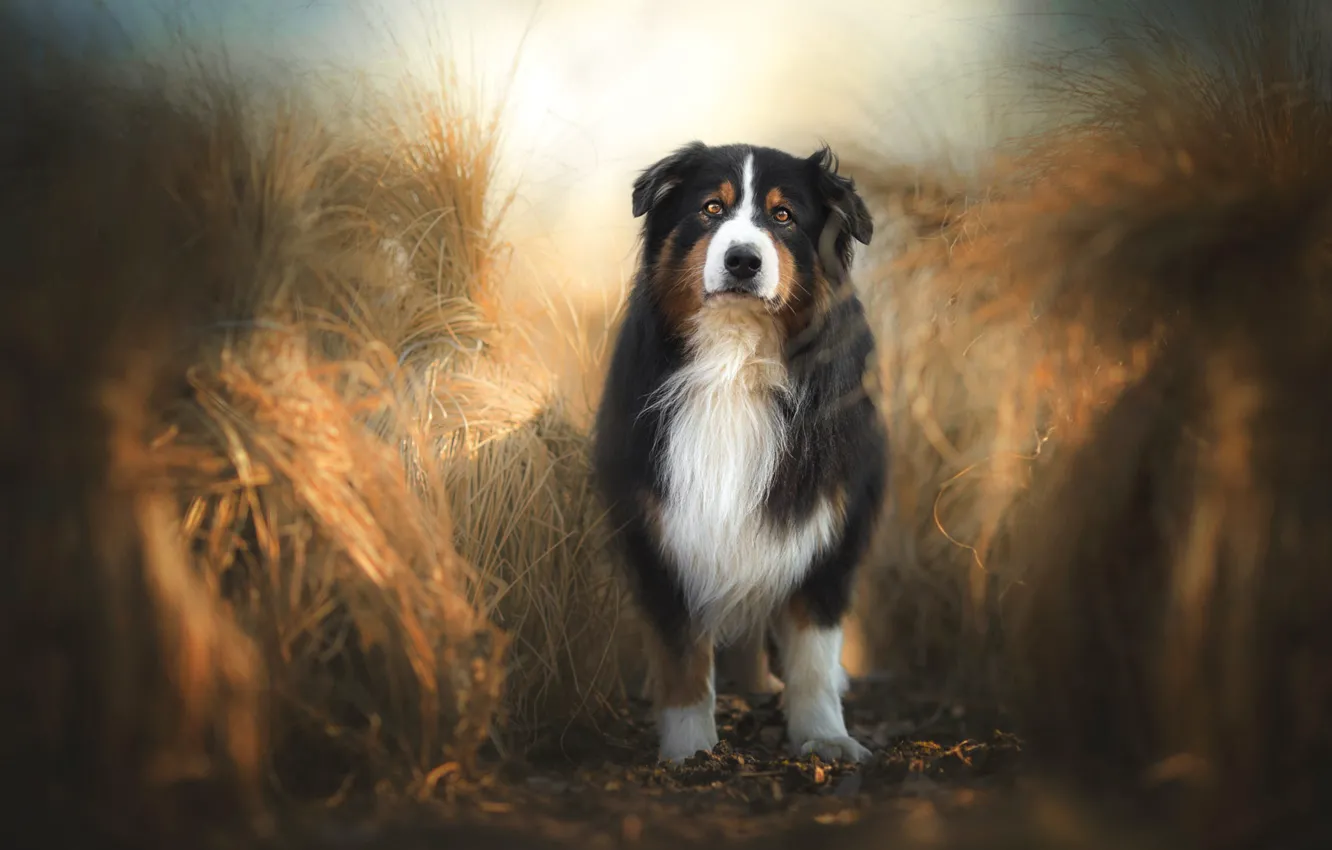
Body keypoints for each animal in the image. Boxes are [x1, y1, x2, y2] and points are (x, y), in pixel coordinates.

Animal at [594, 139, 884, 767]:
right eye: (711, 208)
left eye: (784, 216)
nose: (743, 261)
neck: (735, 357)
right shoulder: (662, 529)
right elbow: (680, 653)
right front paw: (689, 752)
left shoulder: (826, 522)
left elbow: (813, 652)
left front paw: (826, 737)